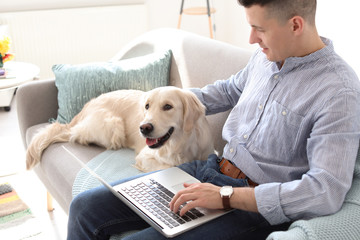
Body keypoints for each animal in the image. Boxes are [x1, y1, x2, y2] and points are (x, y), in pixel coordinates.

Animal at [27, 87, 217, 172]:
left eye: (168, 106)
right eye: (147, 106)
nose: (144, 127)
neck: (182, 144)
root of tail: (87, 105)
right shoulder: (144, 156)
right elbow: (171, 165)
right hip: (113, 124)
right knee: (77, 135)